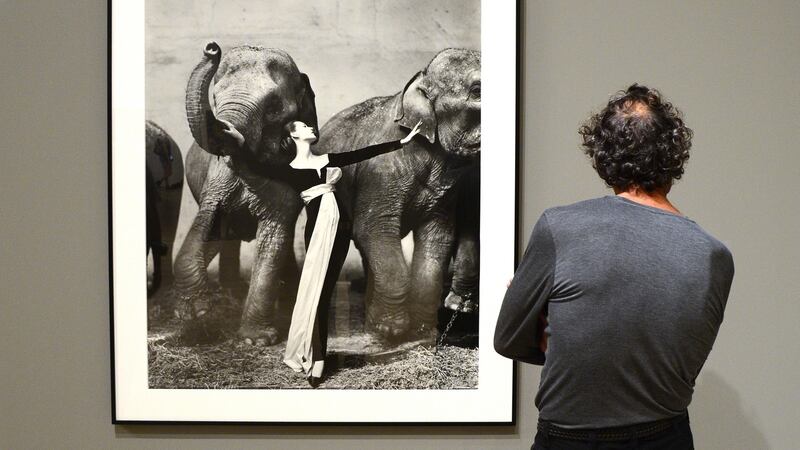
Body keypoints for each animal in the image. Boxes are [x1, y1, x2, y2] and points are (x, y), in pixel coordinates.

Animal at [175, 42, 318, 344]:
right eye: (215, 97)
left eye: (274, 107)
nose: (212, 48)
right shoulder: (216, 179)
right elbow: (209, 222)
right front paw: (197, 313)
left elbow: (276, 231)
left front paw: (255, 340)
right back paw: (231, 291)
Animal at [314, 47, 482, 340]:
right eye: (478, 90)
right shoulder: (380, 172)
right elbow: (373, 229)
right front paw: (392, 330)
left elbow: (438, 236)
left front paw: (422, 328)